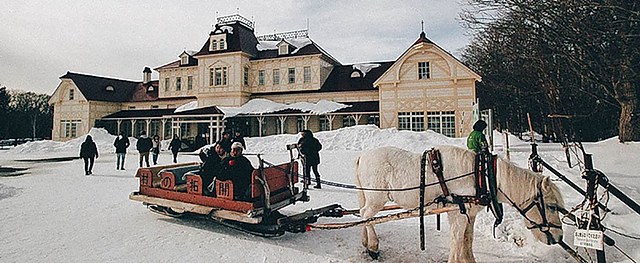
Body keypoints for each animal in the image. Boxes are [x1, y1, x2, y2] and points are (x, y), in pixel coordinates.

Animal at [356, 147, 564, 262]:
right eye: (552, 206)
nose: (559, 237)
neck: (481, 175)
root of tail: (362, 157)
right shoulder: (457, 212)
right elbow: (457, 241)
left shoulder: (469, 214)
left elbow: (467, 240)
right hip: (376, 198)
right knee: (367, 215)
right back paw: (373, 246)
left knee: (364, 215)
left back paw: (365, 242)